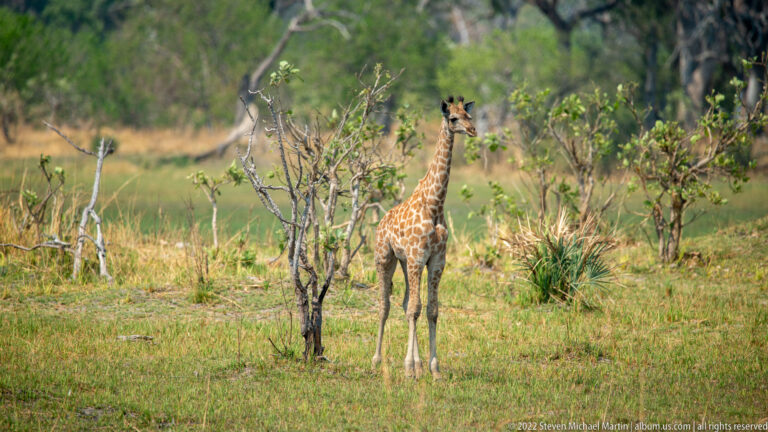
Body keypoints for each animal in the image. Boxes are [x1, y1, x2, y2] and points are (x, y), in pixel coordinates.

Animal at [372, 95, 476, 379]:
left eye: (469, 115)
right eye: (453, 118)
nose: (473, 130)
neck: (435, 203)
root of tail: (380, 223)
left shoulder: (436, 261)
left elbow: (430, 310)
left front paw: (433, 368)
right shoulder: (418, 257)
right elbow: (415, 309)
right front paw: (409, 368)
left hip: (405, 262)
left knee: (406, 302)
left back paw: (417, 364)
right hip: (385, 258)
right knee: (385, 305)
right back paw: (377, 360)